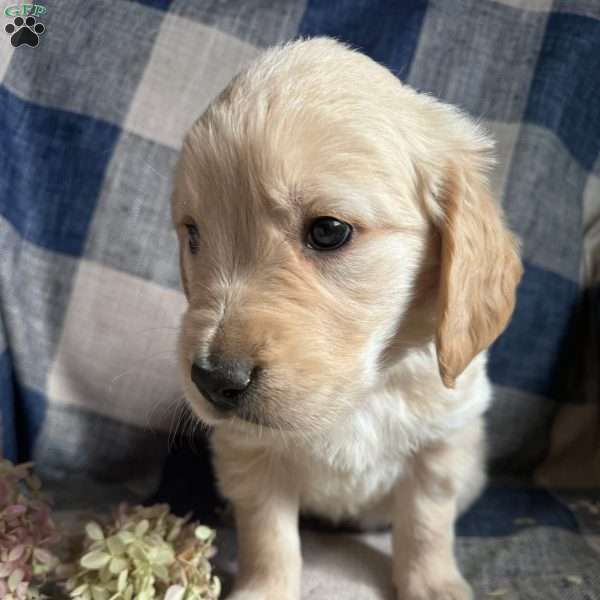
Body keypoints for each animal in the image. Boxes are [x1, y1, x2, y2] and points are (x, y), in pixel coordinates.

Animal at [171, 37, 524, 600]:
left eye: (329, 231)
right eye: (193, 234)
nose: (212, 380)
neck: (362, 393)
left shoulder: (441, 443)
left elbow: (427, 523)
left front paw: (432, 584)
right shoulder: (250, 453)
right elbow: (268, 533)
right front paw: (266, 588)